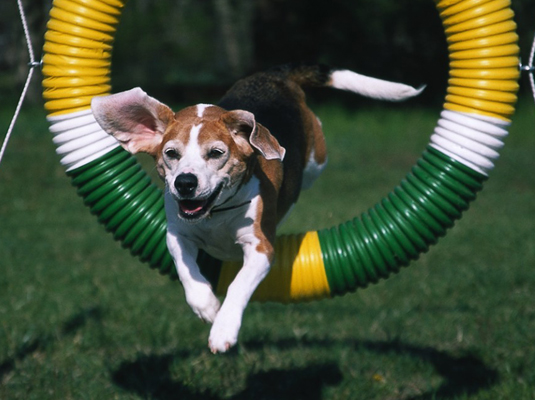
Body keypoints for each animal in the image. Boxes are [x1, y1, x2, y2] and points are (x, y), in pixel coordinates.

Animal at [92, 63, 426, 354]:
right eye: (171, 153)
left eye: (217, 153)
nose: (185, 183)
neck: (217, 213)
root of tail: (276, 73)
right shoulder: (178, 235)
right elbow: (187, 270)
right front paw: (207, 306)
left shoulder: (261, 248)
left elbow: (239, 285)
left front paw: (223, 329)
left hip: (317, 158)